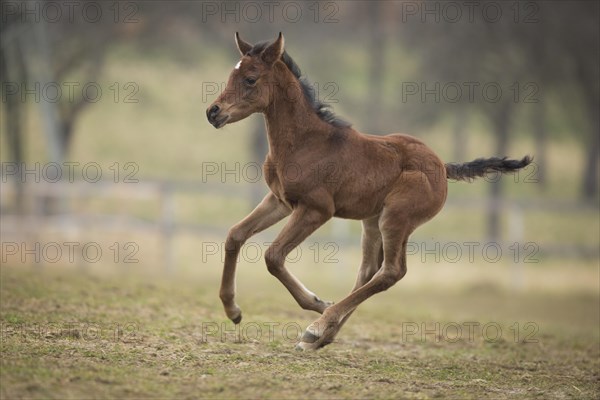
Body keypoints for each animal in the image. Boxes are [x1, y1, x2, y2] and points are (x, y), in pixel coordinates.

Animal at [205, 32, 528, 350]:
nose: (213, 112)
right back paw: (325, 334)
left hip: (396, 218)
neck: (305, 142)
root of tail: (443, 166)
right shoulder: (280, 200)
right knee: (369, 270)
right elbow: (235, 235)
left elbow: (273, 256)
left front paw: (317, 302)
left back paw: (318, 327)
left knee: (391, 272)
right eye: (232, 75)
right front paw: (232, 310)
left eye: (250, 79)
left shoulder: (316, 209)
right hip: (372, 220)